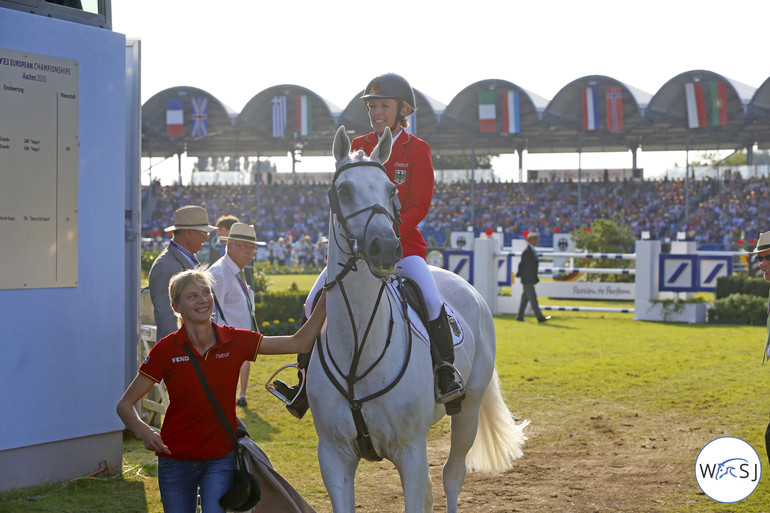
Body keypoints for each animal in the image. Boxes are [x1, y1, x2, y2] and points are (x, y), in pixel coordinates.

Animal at [306, 125, 528, 512]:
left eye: (391, 189)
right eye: (344, 191)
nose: (386, 248)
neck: (358, 348)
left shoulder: (410, 451)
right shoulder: (333, 456)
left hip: (468, 409)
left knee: (451, 475)